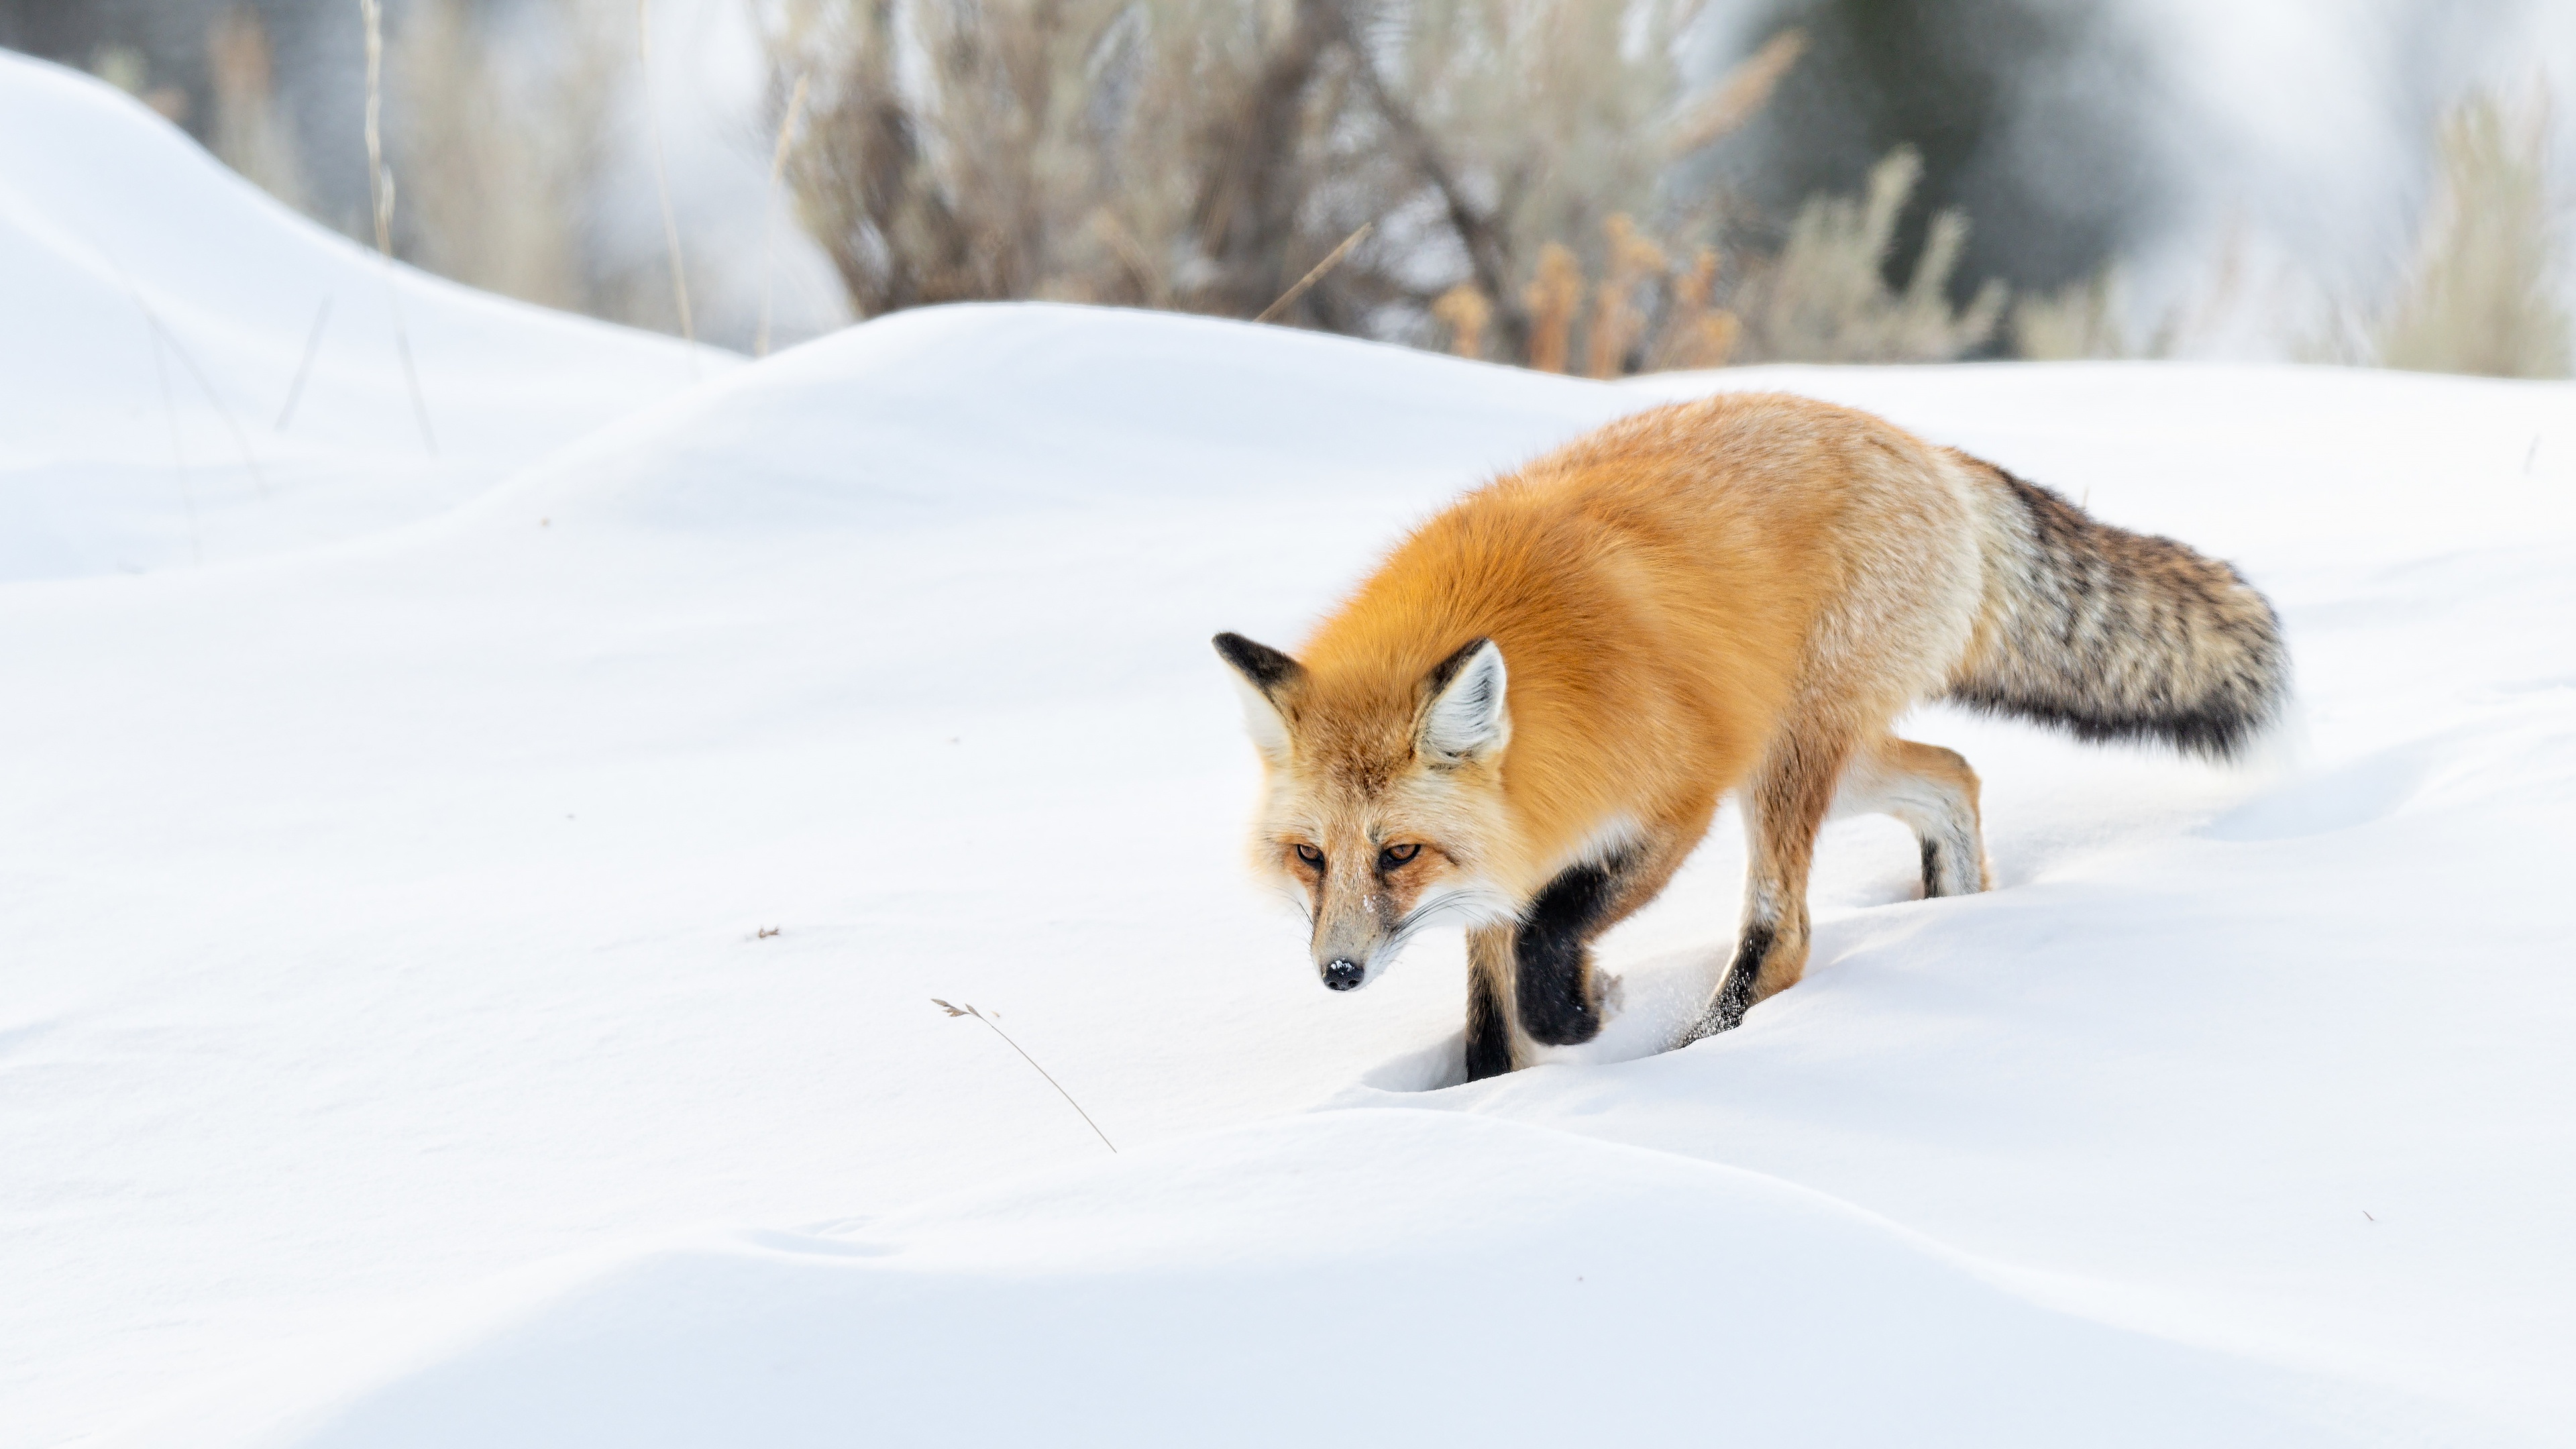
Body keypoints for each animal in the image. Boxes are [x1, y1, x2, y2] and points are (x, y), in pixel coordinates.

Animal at [1216, 389, 2287, 1077]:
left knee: (1787, 937)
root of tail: (1930, 453)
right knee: (1955, 774)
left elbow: (1552, 938)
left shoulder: (1669, 803)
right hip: (1835, 763)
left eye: (1397, 853)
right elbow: (1489, 1022)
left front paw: (1579, 1016)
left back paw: (1702, 1052)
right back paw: (1956, 915)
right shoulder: (1511, 850)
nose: (1339, 974)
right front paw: (1498, 1099)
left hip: (1780, 762)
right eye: (1311, 856)